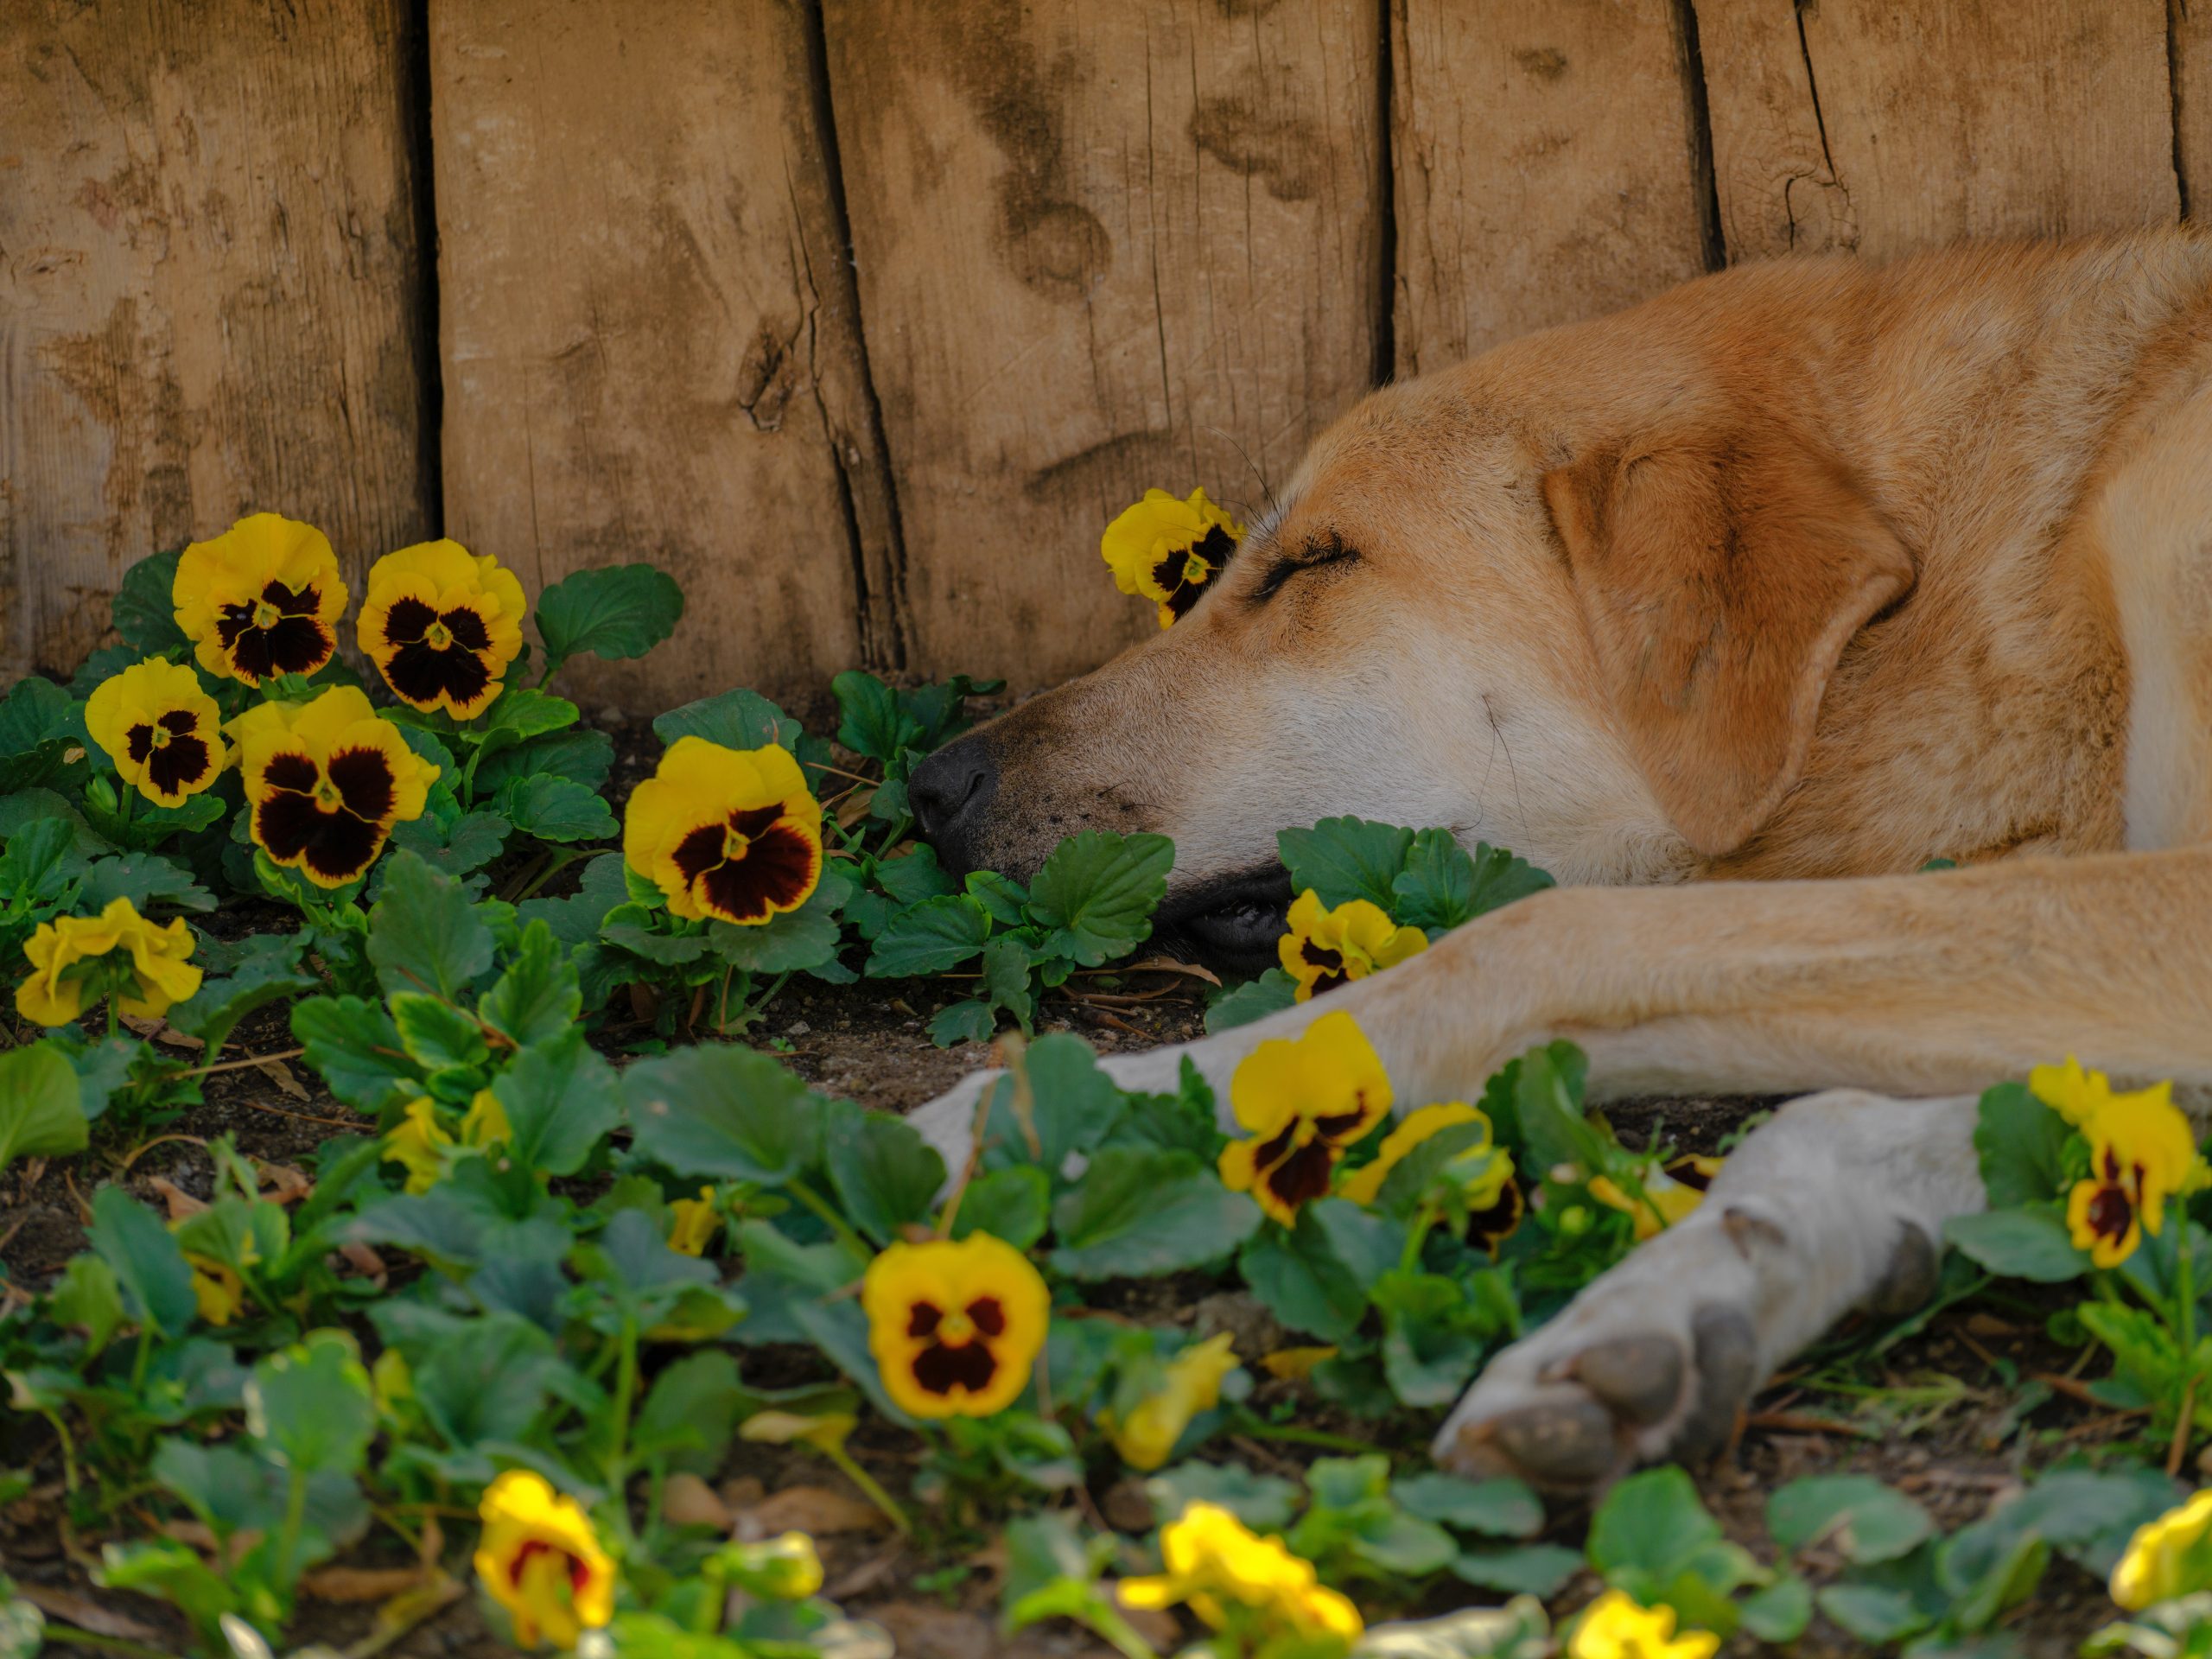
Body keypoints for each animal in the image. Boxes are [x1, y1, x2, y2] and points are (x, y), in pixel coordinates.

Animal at [898, 231, 2212, 1495]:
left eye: (1314, 562)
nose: (933, 790)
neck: (2029, 556)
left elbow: (1538, 938)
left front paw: (1048, 1111)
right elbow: (1843, 1117)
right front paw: (1677, 1308)